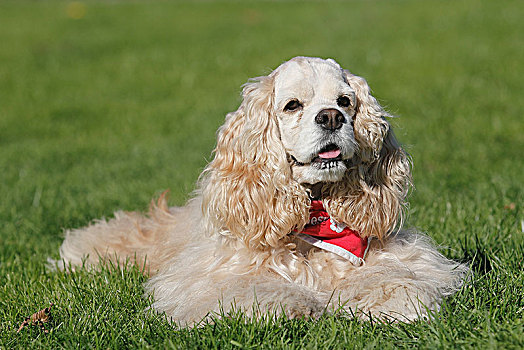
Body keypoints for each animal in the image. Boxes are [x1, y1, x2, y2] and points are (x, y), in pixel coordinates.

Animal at [59, 56, 468, 326]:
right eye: (292, 105)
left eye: (345, 101)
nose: (331, 117)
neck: (312, 222)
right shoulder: (211, 277)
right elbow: (254, 290)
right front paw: (291, 306)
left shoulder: (403, 258)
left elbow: (394, 279)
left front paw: (397, 301)